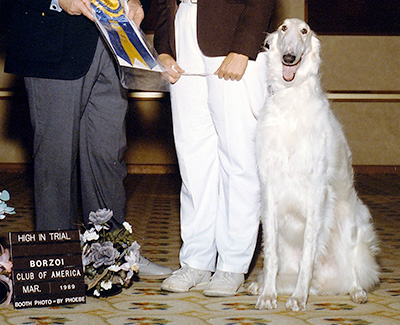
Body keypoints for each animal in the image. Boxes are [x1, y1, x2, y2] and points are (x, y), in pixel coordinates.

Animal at [250, 18, 382, 312]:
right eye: (283, 28)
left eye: (304, 31)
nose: (289, 57)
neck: (291, 101)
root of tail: (326, 279)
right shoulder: (269, 189)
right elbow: (270, 255)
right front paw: (268, 295)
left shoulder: (317, 193)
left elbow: (307, 256)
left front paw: (298, 298)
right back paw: (260, 286)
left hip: (349, 222)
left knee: (353, 271)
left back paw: (355, 291)